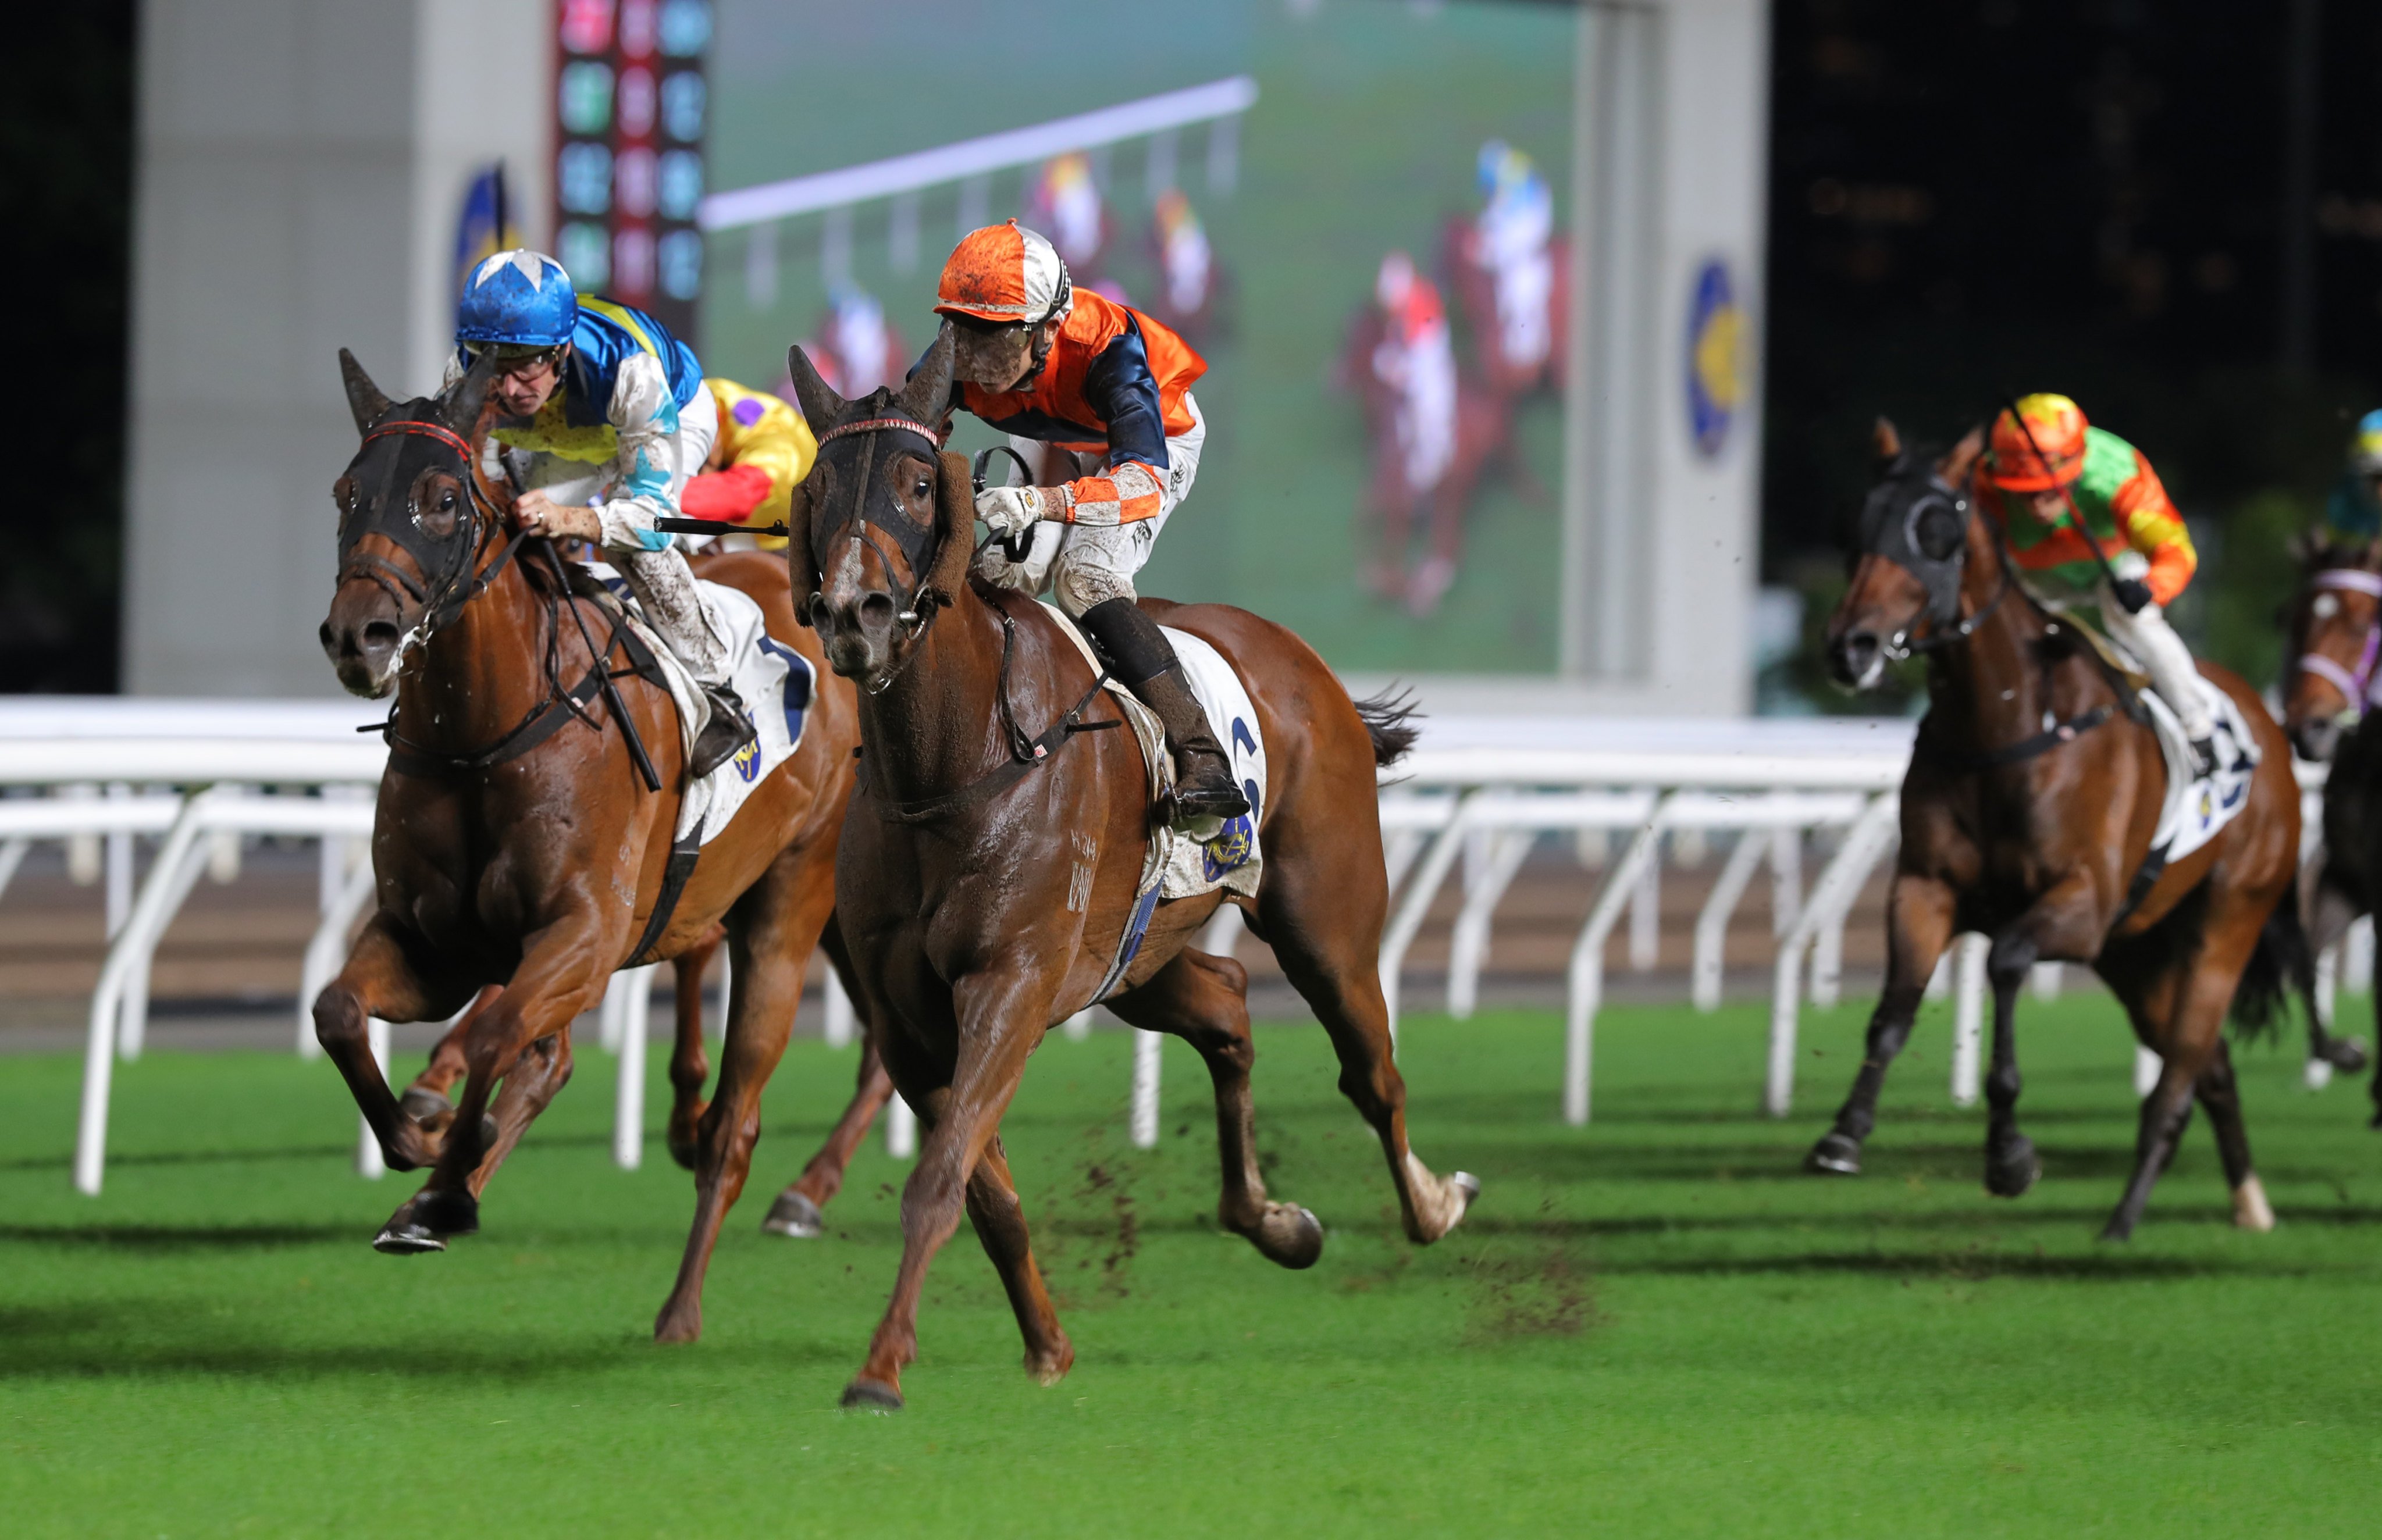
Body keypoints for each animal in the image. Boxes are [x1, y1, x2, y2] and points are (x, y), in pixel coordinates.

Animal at [307, 350, 886, 1332]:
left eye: (442, 499)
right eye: (348, 492)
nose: (361, 635)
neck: (485, 735)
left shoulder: (586, 931)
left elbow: (500, 1035)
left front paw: (447, 1181)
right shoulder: (432, 942)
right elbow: (341, 1011)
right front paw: (417, 1150)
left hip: (794, 904)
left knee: (741, 1121)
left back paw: (695, 1295)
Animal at [791, 330, 1476, 1418]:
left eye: (915, 481)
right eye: (815, 486)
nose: (856, 612)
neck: (952, 765)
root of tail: (1304, 664)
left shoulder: (1010, 986)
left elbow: (939, 1180)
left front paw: (879, 1369)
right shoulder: (908, 1019)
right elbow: (983, 1188)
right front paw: (1046, 1345)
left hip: (1326, 923)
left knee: (1371, 1069)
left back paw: (1431, 1203)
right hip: (1136, 959)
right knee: (1229, 1006)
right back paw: (1272, 1219)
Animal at [1810, 419, 2296, 1238]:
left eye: (1936, 532)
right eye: (1857, 524)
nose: (1852, 646)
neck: (2006, 725)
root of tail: (2270, 728)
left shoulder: (2081, 902)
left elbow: (2006, 963)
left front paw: (2010, 1154)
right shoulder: (1926, 887)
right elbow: (1893, 1009)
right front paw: (1844, 1133)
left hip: (2225, 920)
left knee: (2183, 1069)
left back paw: (2125, 1221)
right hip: (2136, 949)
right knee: (2211, 1065)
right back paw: (2247, 1201)